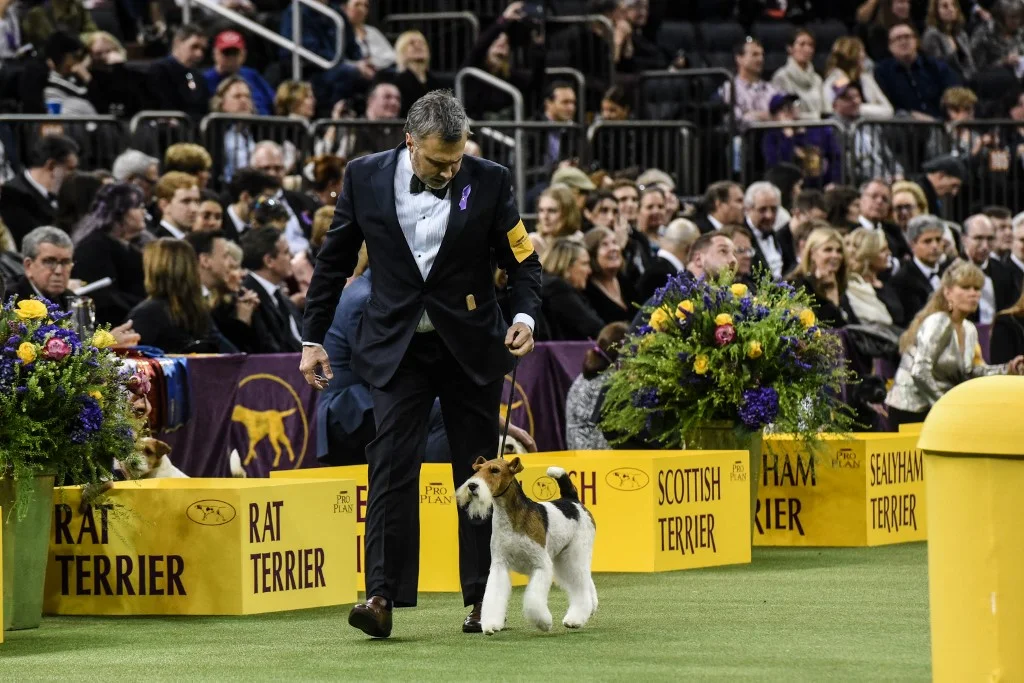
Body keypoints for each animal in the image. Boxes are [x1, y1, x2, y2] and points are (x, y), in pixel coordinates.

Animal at [454, 456, 593, 638]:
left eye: (495, 470)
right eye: (477, 470)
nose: (472, 486)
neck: (511, 518)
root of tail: (572, 500)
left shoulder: (541, 564)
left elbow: (534, 601)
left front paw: (544, 623)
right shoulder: (499, 564)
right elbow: (493, 595)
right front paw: (491, 624)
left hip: (574, 555)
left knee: (581, 587)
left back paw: (575, 619)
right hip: (563, 559)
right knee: (587, 582)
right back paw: (590, 609)